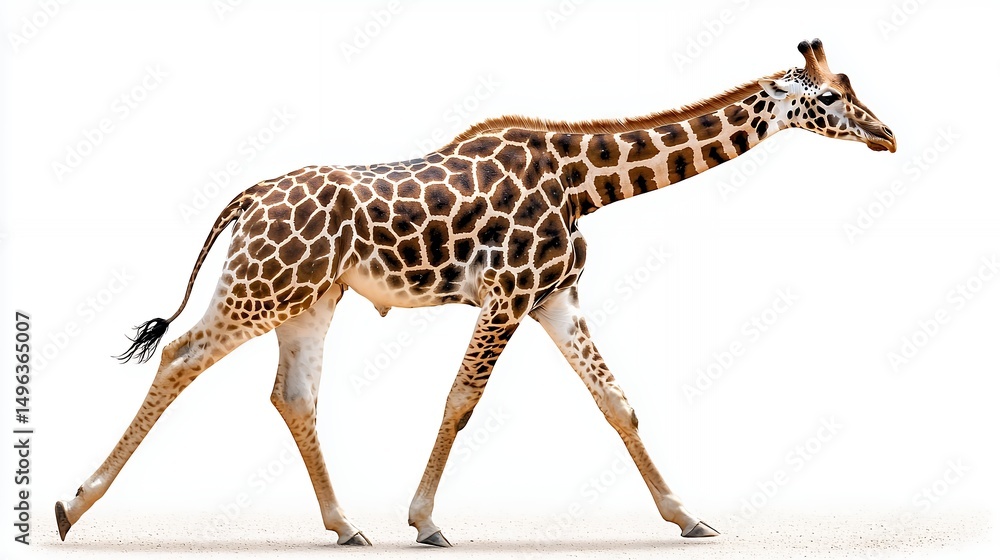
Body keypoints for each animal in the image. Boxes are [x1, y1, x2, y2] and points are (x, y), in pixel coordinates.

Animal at [56, 39, 894, 547]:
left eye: (853, 86)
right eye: (830, 99)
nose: (886, 135)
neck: (589, 185)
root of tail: (251, 196)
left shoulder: (557, 297)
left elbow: (616, 401)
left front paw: (688, 516)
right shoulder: (510, 293)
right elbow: (462, 400)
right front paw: (425, 521)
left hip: (308, 300)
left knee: (291, 395)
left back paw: (345, 525)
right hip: (262, 287)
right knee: (180, 355)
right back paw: (73, 505)